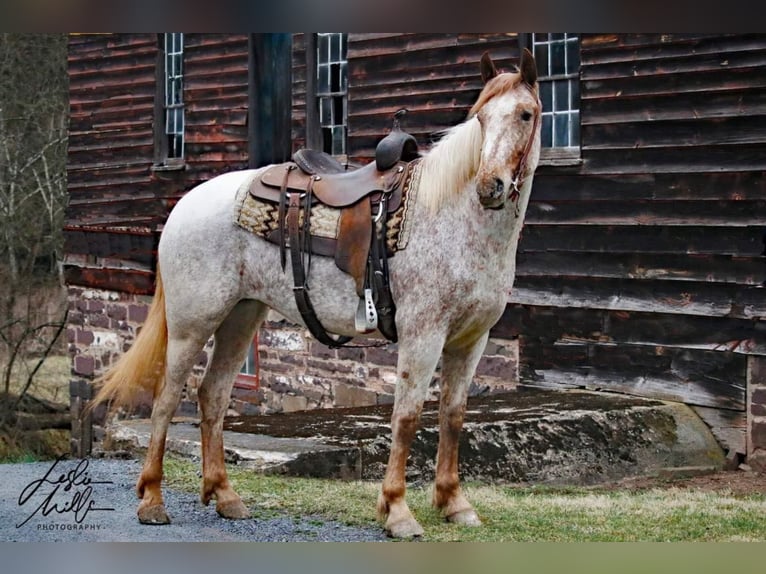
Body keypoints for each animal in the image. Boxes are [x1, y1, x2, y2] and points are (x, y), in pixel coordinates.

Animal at [90, 49, 544, 540]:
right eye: (481, 117)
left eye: (526, 114)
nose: (489, 186)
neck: (453, 218)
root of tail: (184, 205)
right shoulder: (423, 335)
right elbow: (406, 418)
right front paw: (397, 511)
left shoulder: (471, 340)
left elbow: (453, 416)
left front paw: (455, 504)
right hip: (193, 324)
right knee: (167, 397)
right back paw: (153, 499)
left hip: (241, 317)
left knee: (212, 394)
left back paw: (226, 496)